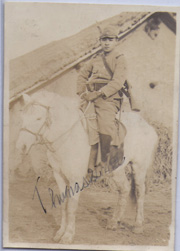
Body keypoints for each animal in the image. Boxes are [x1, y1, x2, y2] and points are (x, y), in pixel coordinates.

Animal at [16, 90, 158, 243]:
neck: (68, 136)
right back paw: (114, 222)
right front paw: (60, 232)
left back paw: (138, 225)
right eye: (22, 117)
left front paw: (68, 235)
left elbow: (72, 206)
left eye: (38, 118)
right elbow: (63, 204)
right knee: (124, 189)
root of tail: (148, 126)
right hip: (117, 169)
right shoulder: (59, 175)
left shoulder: (75, 178)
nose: (21, 147)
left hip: (139, 167)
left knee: (139, 192)